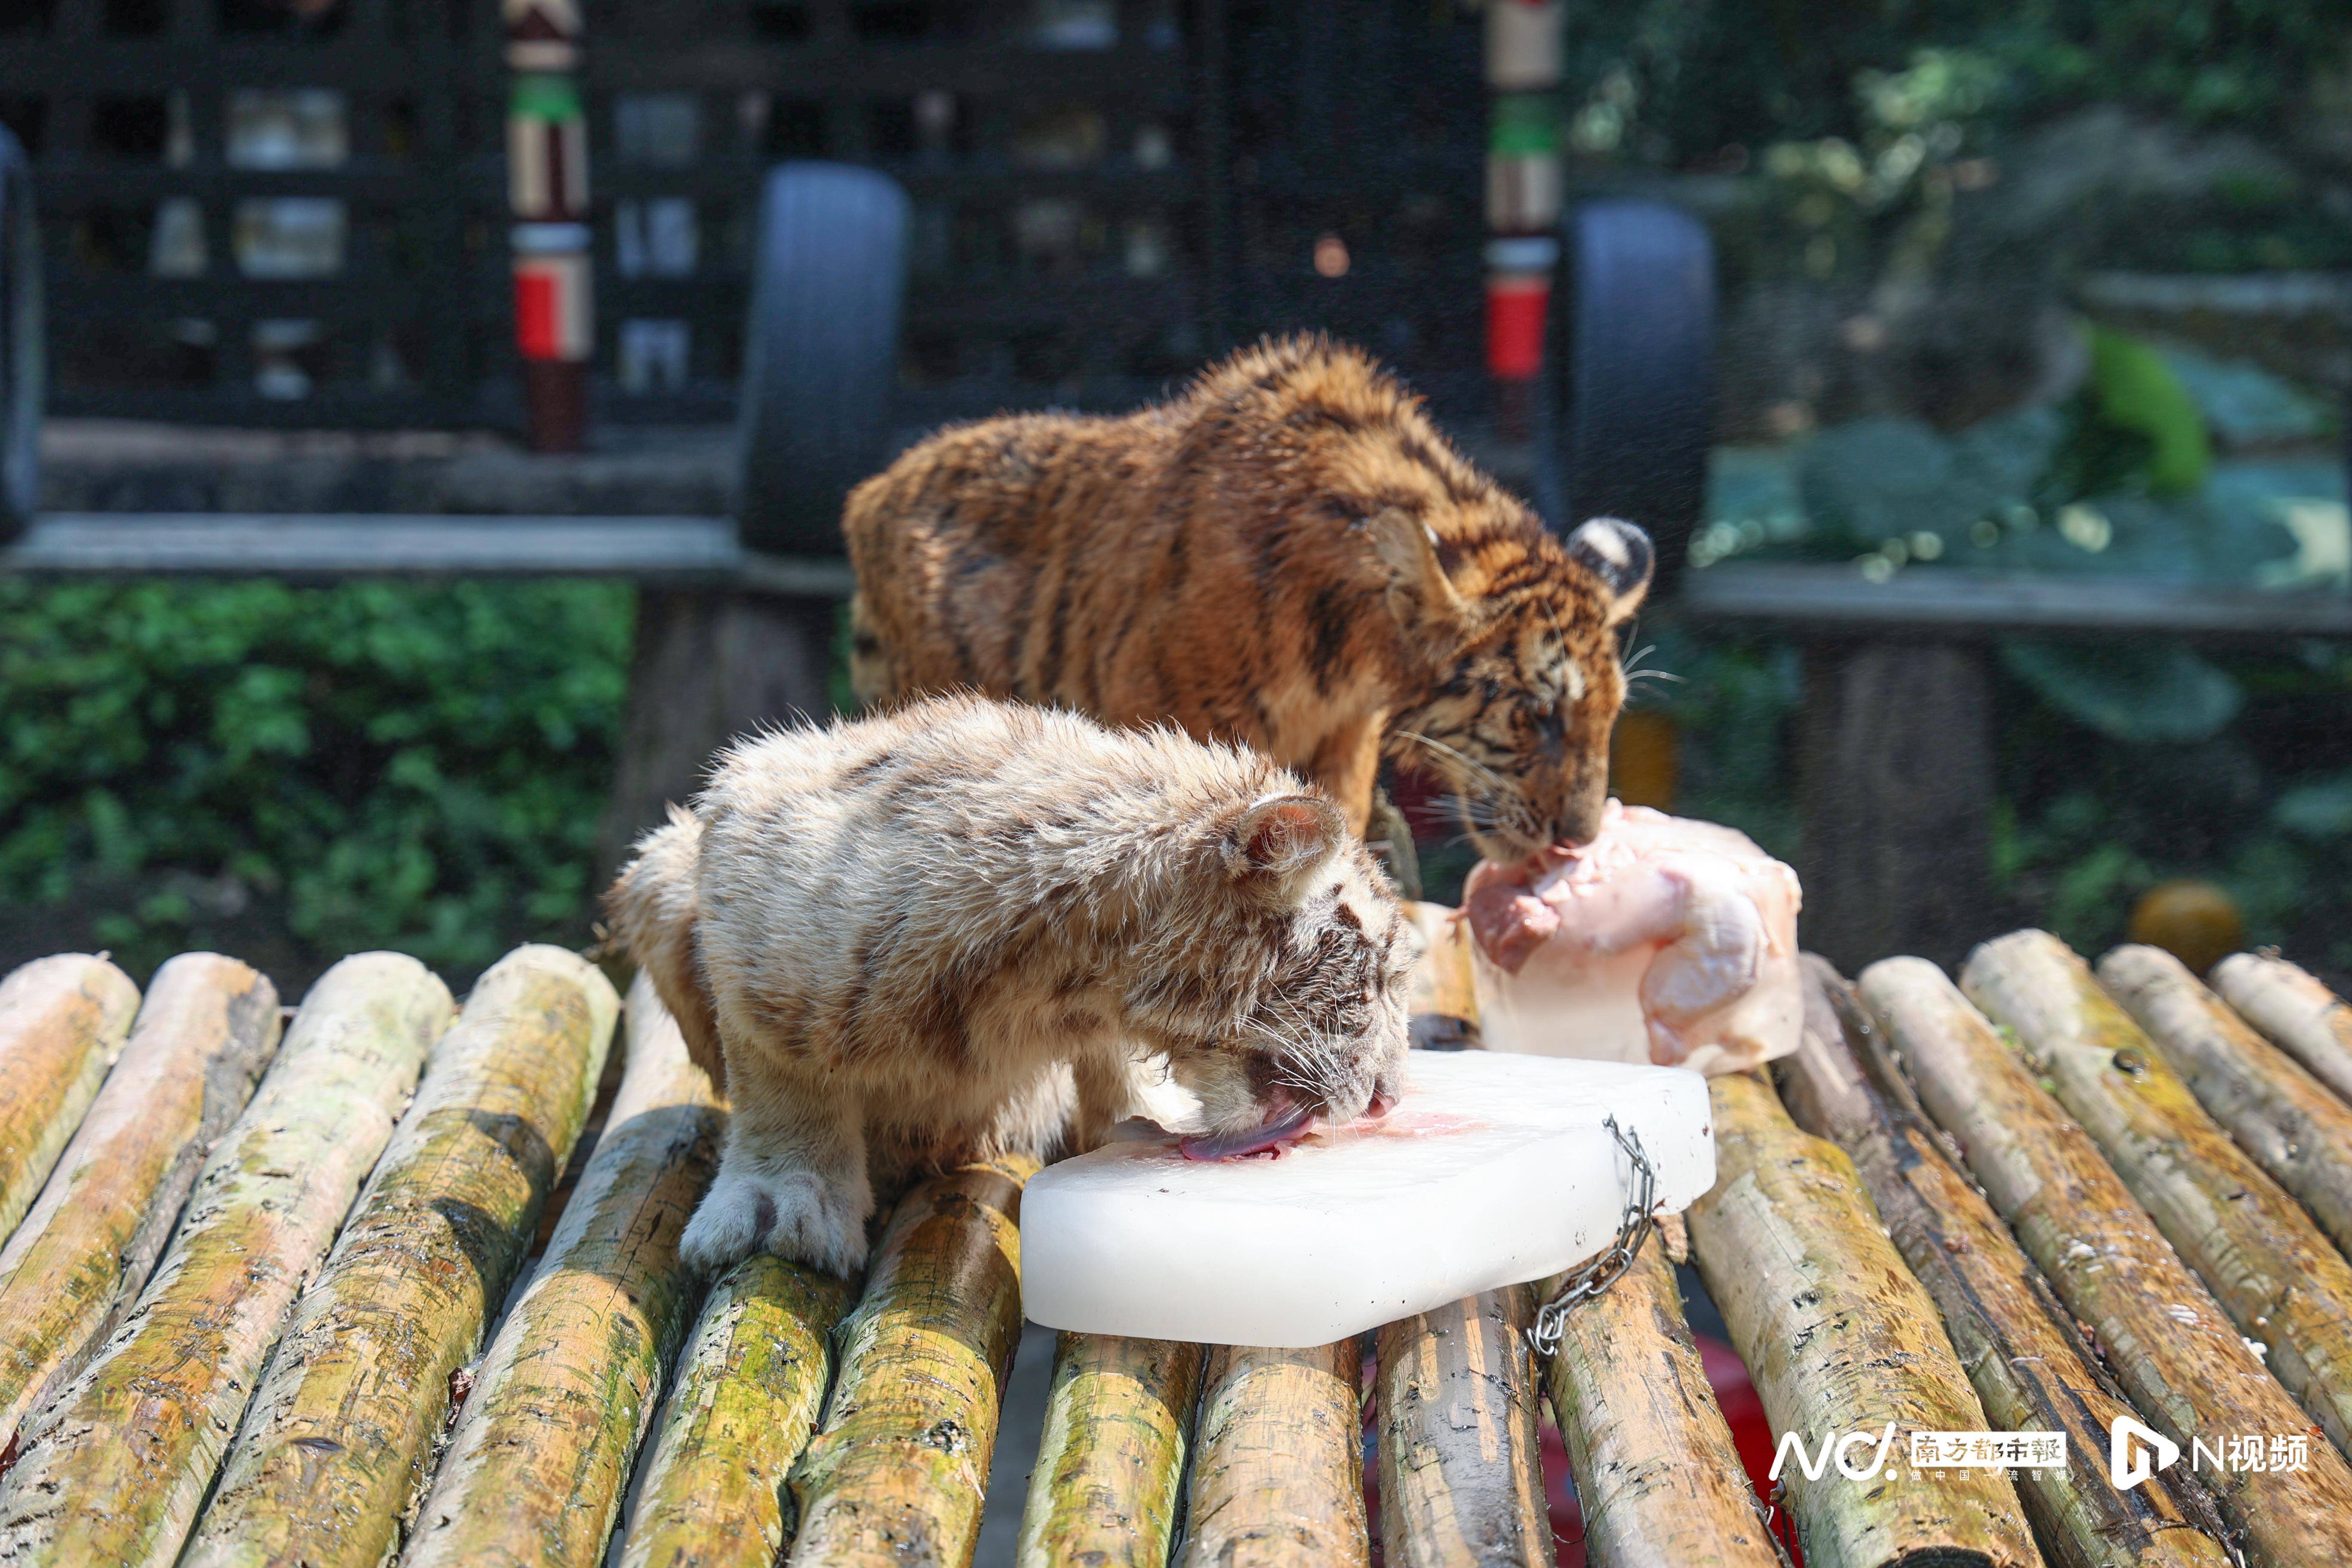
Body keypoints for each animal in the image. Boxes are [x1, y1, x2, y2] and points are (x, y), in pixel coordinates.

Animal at [842, 334, 1654, 865]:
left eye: (1609, 716)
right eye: (1539, 716)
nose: (1581, 839)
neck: (1351, 652)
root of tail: (870, 493)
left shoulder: (1346, 741)